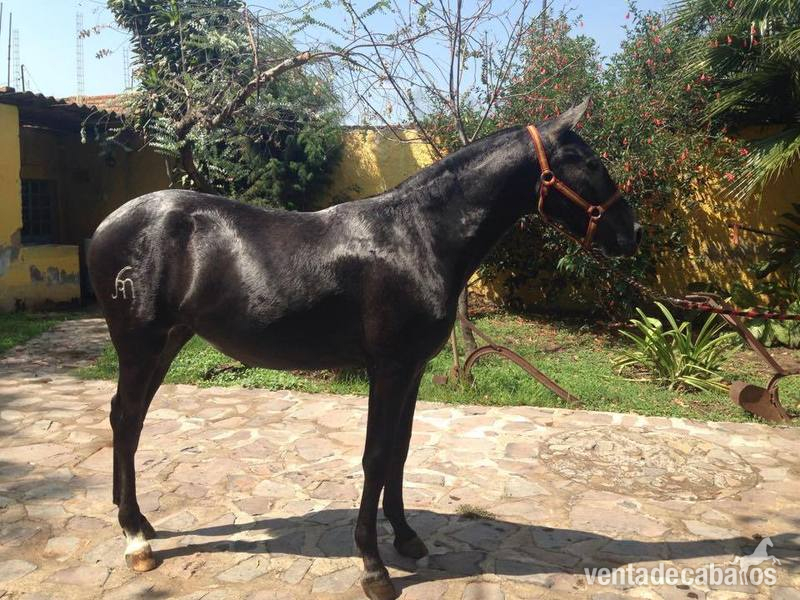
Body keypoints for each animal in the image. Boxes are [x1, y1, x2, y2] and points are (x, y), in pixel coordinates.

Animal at [87, 99, 640, 600]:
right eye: (591, 162)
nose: (632, 233)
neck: (417, 236)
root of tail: (105, 225)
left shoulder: (413, 369)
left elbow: (400, 450)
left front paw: (407, 538)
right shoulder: (388, 367)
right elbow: (375, 456)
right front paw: (374, 566)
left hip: (167, 343)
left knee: (128, 418)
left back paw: (137, 521)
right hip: (140, 345)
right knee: (126, 419)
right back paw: (135, 538)